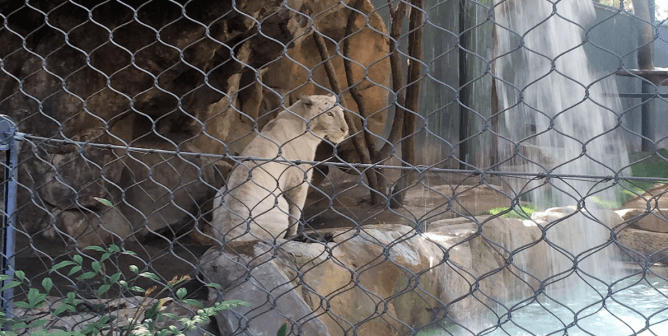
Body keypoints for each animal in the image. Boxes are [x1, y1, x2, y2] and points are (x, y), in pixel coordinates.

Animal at [213, 93, 350, 243]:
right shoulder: (299, 183)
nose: (345, 129)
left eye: (341, 112)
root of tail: (230, 237)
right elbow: (295, 213)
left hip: (219, 194)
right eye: (329, 114)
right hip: (280, 205)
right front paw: (294, 233)